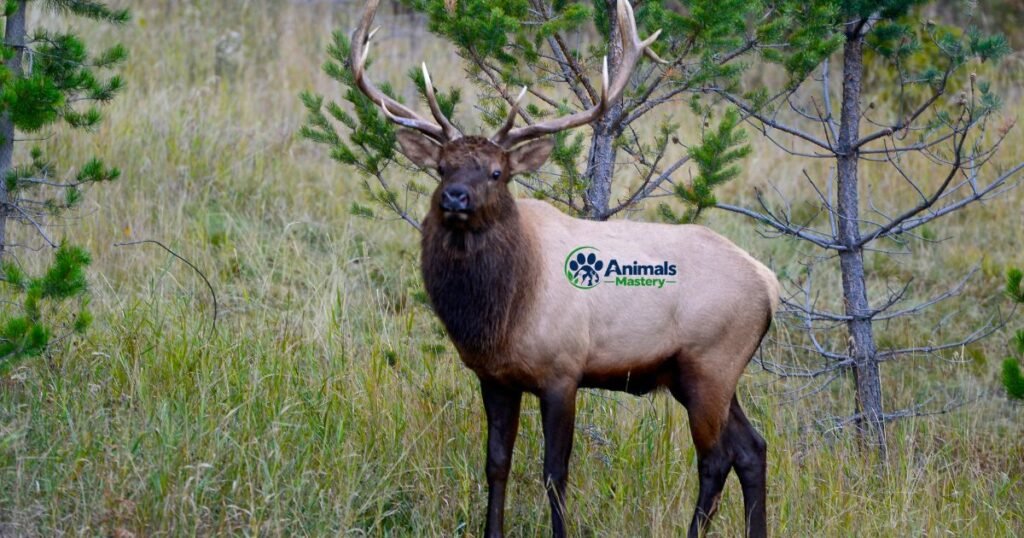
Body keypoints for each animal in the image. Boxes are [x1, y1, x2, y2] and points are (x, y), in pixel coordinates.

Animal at [349, 1, 780, 536]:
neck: (502, 312)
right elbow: (496, 462)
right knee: (753, 448)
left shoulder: (563, 370)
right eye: (442, 167)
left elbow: (555, 474)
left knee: (717, 459)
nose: (455, 197)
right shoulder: (495, 376)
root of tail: (770, 285)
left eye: (497, 172)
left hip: (711, 362)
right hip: (697, 373)